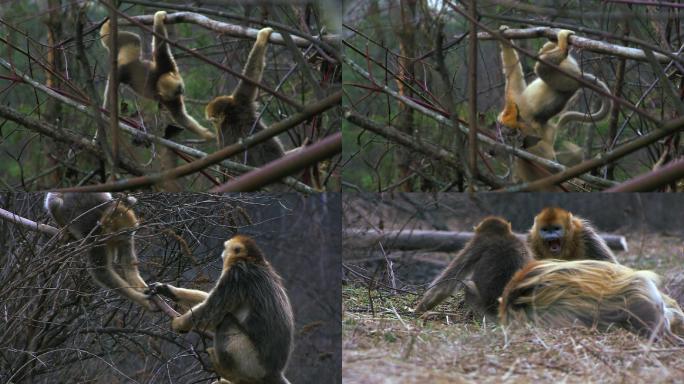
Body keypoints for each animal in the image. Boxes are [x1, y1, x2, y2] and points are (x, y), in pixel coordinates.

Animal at [99, 10, 214, 141]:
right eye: (177, 91)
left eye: (180, 88)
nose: (182, 92)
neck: (159, 79)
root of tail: (124, 65)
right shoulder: (169, 99)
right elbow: (181, 117)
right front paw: (208, 135)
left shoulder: (165, 65)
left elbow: (160, 44)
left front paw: (159, 17)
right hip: (120, 72)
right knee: (111, 92)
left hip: (129, 54)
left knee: (133, 39)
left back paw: (108, 25)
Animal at [147, 234, 292, 384]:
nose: (223, 252)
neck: (253, 260)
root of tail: (273, 372)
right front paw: (169, 291)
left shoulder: (237, 275)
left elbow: (213, 311)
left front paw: (179, 323)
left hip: (251, 363)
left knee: (226, 320)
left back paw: (227, 372)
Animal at [204, 27, 288, 165]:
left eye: (213, 119)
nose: (212, 121)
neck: (229, 114)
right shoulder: (239, 102)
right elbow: (252, 74)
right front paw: (262, 36)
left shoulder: (238, 102)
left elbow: (251, 75)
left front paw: (262, 36)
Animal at [496, 27, 616, 189]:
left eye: (501, 128)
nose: (501, 127)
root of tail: (580, 80)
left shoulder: (514, 105)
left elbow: (512, 74)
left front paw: (505, 39)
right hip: (567, 78)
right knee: (543, 68)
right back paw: (558, 47)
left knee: (542, 67)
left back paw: (553, 45)